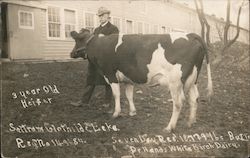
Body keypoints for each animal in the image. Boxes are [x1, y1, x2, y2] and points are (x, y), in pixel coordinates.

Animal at [71, 28, 213, 132]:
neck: (99, 45)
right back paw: (190, 122)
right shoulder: (128, 78)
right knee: (194, 98)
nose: (71, 54)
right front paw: (132, 112)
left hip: (175, 81)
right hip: (193, 78)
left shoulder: (110, 75)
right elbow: (129, 95)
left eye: (77, 40)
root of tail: (191, 35)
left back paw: (169, 127)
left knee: (178, 102)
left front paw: (116, 113)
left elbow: (116, 95)